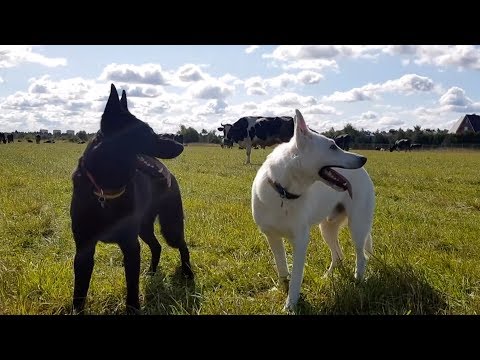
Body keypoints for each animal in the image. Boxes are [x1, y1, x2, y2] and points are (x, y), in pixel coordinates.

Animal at [69, 83, 193, 312]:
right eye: (147, 133)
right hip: (144, 228)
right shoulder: (83, 249)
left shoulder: (130, 246)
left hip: (170, 227)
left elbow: (132, 289)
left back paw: (188, 273)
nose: (181, 146)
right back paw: (152, 272)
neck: (105, 192)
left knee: (182, 245)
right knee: (157, 246)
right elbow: (79, 292)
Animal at [251, 108, 376, 310]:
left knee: (361, 256)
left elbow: (296, 277)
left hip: (357, 227)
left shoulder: (301, 241)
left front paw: (290, 305)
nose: (363, 159)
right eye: (332, 146)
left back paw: (358, 281)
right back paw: (328, 277)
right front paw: (282, 290)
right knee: (338, 255)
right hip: (327, 229)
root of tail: (365, 173)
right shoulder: (272, 237)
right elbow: (282, 268)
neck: (284, 193)